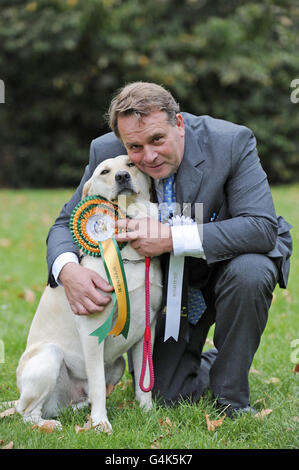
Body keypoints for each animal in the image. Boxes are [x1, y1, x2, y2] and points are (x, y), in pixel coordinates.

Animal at [15, 155, 163, 434]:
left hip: (116, 366)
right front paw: (100, 423)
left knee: (76, 401)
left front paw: (149, 414)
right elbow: (97, 383)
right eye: (105, 171)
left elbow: (145, 380)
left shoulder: (147, 327)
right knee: (27, 414)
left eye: (131, 164)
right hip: (50, 356)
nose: (122, 177)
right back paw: (49, 424)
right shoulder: (93, 329)